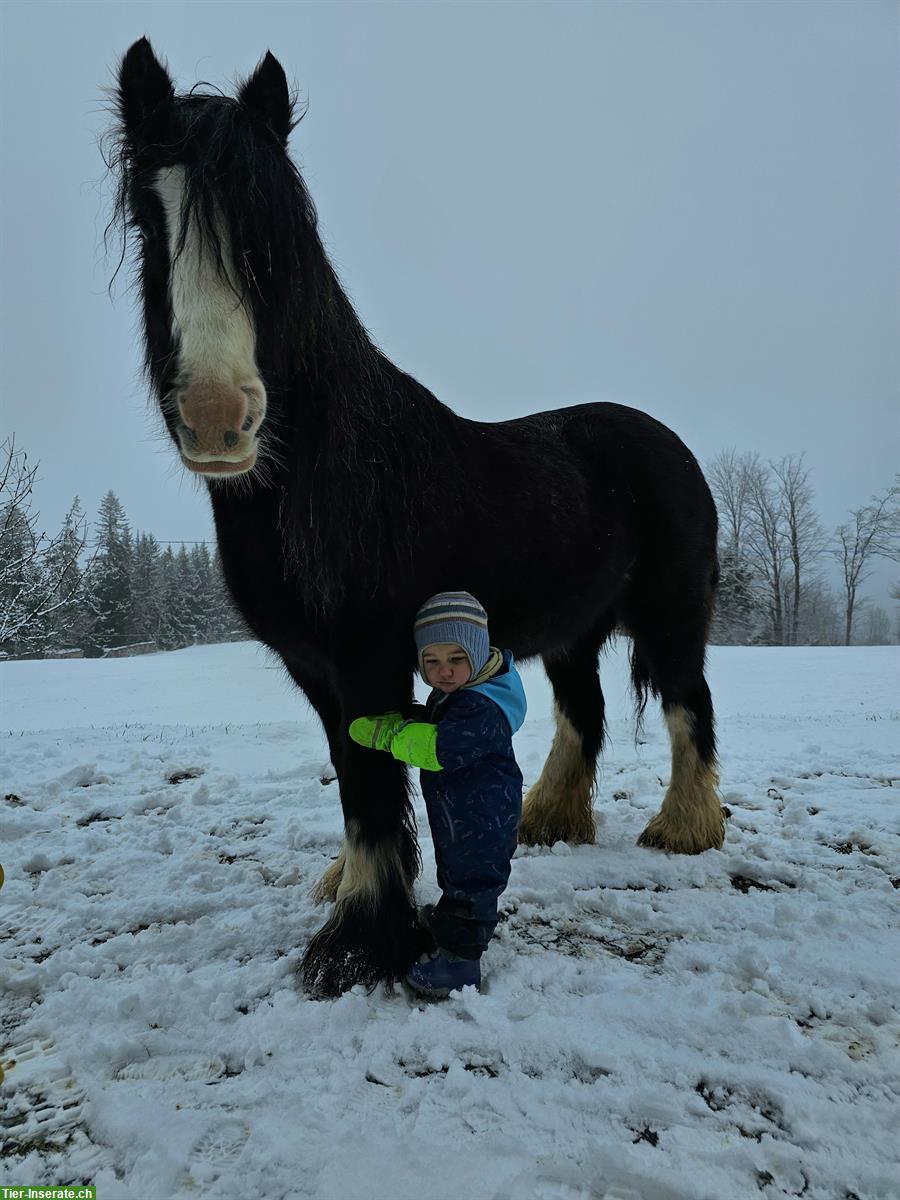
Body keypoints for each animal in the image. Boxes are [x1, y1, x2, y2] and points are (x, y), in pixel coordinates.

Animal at [107, 38, 724, 997]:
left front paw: (360, 941)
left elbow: (370, 777)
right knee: (582, 716)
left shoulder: (368, 656)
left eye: (268, 232)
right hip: (573, 632)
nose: (217, 417)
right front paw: (361, 894)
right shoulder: (315, 667)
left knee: (690, 704)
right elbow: (356, 776)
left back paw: (685, 830)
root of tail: (666, 443)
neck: (333, 476)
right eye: (149, 218)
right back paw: (545, 821)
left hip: (670, 615)